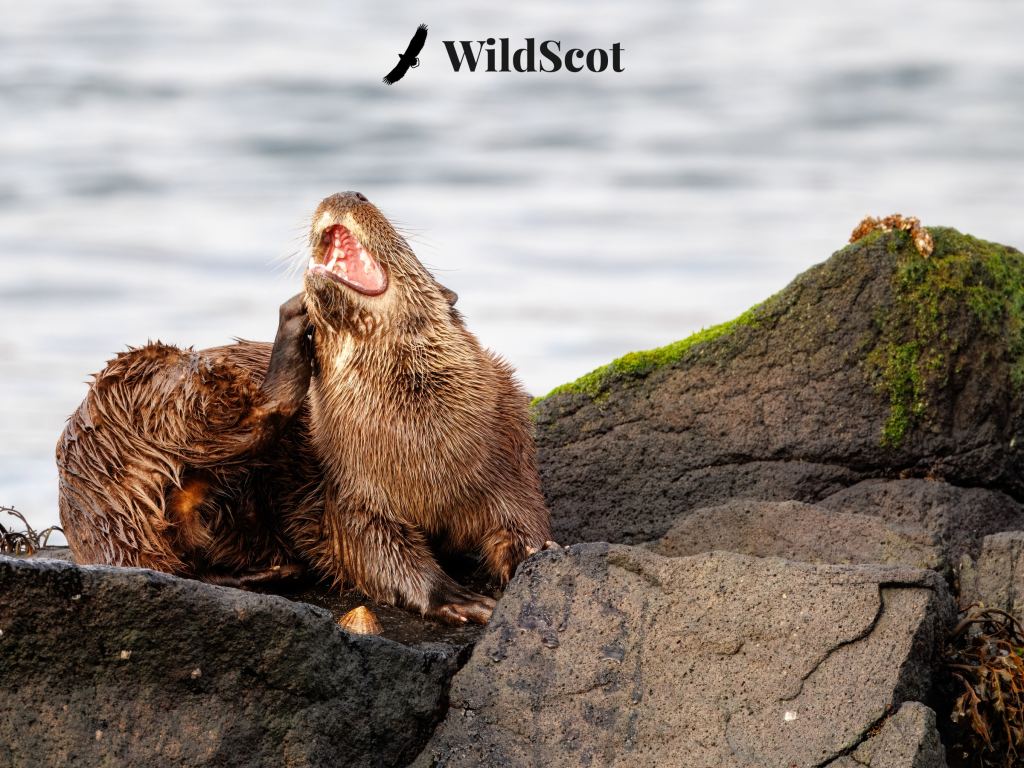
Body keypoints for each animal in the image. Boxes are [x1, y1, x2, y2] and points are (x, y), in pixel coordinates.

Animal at [57, 191, 553, 624]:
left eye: (405, 247)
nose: (348, 192)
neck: (423, 451)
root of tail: (86, 498)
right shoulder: (351, 492)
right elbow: (376, 555)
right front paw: (456, 597)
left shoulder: (510, 458)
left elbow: (525, 526)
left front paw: (535, 556)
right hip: (152, 385)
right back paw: (290, 331)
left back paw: (271, 571)